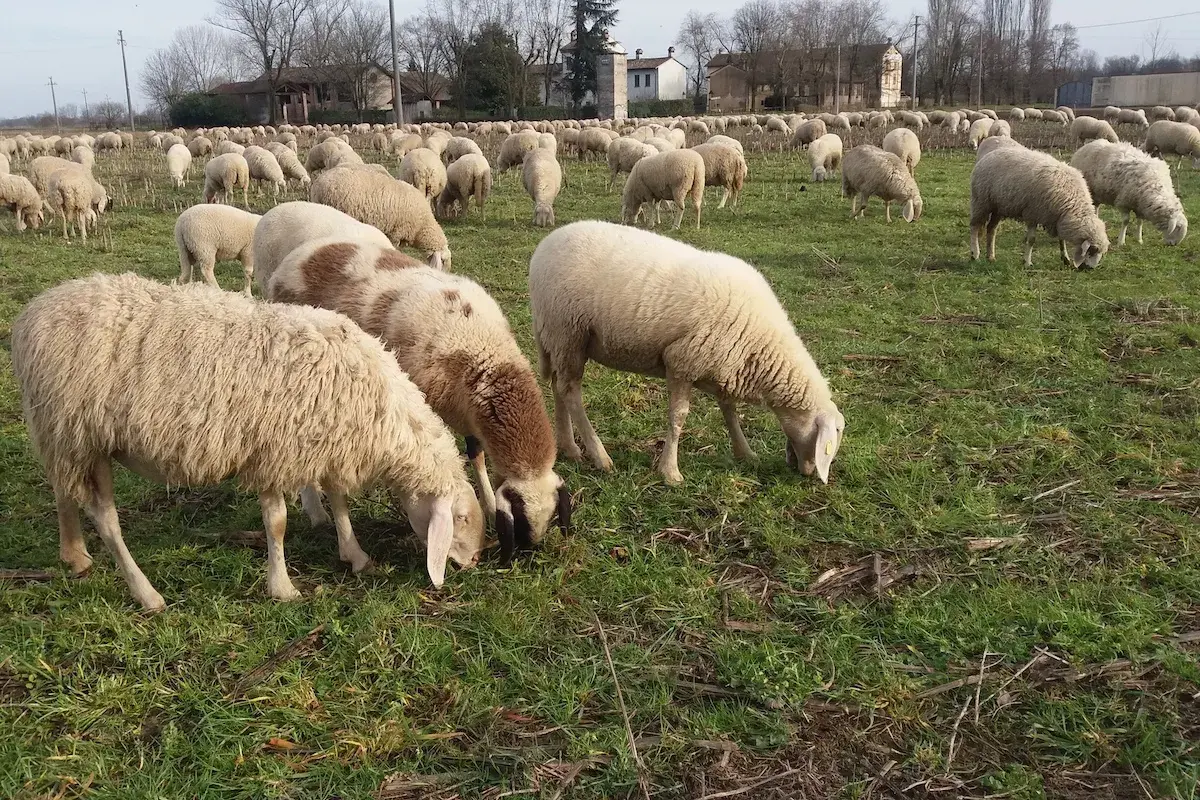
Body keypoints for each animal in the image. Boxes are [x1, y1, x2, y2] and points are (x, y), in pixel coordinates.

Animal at [10, 273, 485, 610]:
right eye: (460, 519)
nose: (475, 562)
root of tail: (33, 313)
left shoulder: (324, 443)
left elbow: (338, 502)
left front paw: (355, 554)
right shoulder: (276, 452)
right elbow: (277, 523)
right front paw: (282, 587)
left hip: (64, 435)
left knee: (63, 493)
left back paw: (74, 555)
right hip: (81, 434)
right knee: (105, 518)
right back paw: (147, 594)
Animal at [268, 241, 571, 555]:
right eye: (520, 522)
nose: (525, 552)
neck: (483, 348)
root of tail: (299, 256)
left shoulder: (466, 412)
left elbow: (476, 455)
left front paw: (487, 502)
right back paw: (315, 510)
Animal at [529, 220, 845, 485]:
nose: (809, 474)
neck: (763, 346)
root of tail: (543, 248)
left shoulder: (723, 366)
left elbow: (729, 411)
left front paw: (744, 452)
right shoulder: (681, 361)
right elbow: (678, 417)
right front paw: (670, 471)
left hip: (560, 339)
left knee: (558, 386)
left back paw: (569, 448)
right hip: (568, 331)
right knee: (571, 392)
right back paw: (600, 456)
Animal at [969, 147, 1108, 269]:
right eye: (1092, 250)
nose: (1090, 268)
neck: (1072, 202)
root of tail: (988, 156)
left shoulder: (1057, 218)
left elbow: (1061, 239)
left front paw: (1065, 258)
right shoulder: (1033, 214)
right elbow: (1031, 240)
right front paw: (1027, 262)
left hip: (998, 207)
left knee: (991, 229)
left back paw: (990, 256)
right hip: (981, 201)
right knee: (975, 226)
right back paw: (975, 254)